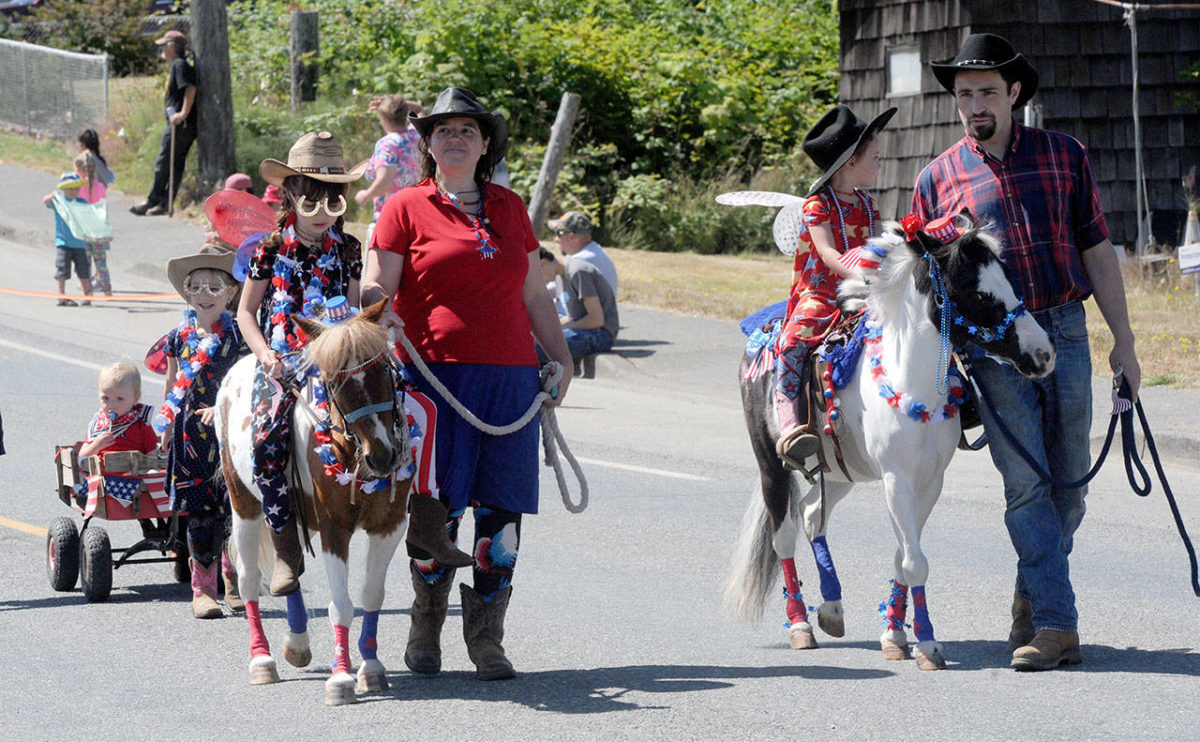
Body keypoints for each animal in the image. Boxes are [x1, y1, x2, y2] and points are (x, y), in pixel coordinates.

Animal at [216, 299, 413, 704]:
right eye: (334, 380)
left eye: (382, 368)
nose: (382, 457)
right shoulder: (335, 530)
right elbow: (341, 605)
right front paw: (341, 678)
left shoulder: (390, 526)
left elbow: (372, 596)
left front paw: (371, 668)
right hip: (246, 505)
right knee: (249, 580)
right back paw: (262, 660)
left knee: (289, 567)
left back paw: (297, 644)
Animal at [724, 212, 1056, 670]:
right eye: (977, 292)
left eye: (1009, 279)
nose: (1043, 355)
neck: (910, 381)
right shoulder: (896, 479)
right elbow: (915, 562)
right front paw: (928, 645)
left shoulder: (929, 482)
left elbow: (904, 557)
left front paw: (896, 635)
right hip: (770, 465)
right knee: (784, 534)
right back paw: (800, 624)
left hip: (839, 473)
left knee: (811, 514)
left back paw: (831, 609)